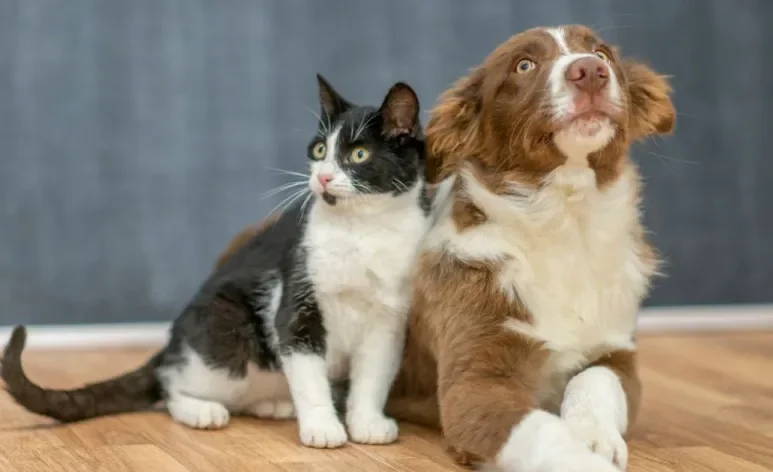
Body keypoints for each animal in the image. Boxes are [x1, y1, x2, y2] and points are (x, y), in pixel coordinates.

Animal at [0, 74, 432, 450]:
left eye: (359, 154)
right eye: (320, 150)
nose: (323, 178)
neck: (363, 230)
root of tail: (172, 341)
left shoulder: (388, 318)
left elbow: (373, 376)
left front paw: (367, 423)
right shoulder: (296, 300)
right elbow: (309, 374)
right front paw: (323, 428)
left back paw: (273, 404)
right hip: (226, 332)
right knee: (171, 382)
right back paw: (202, 411)